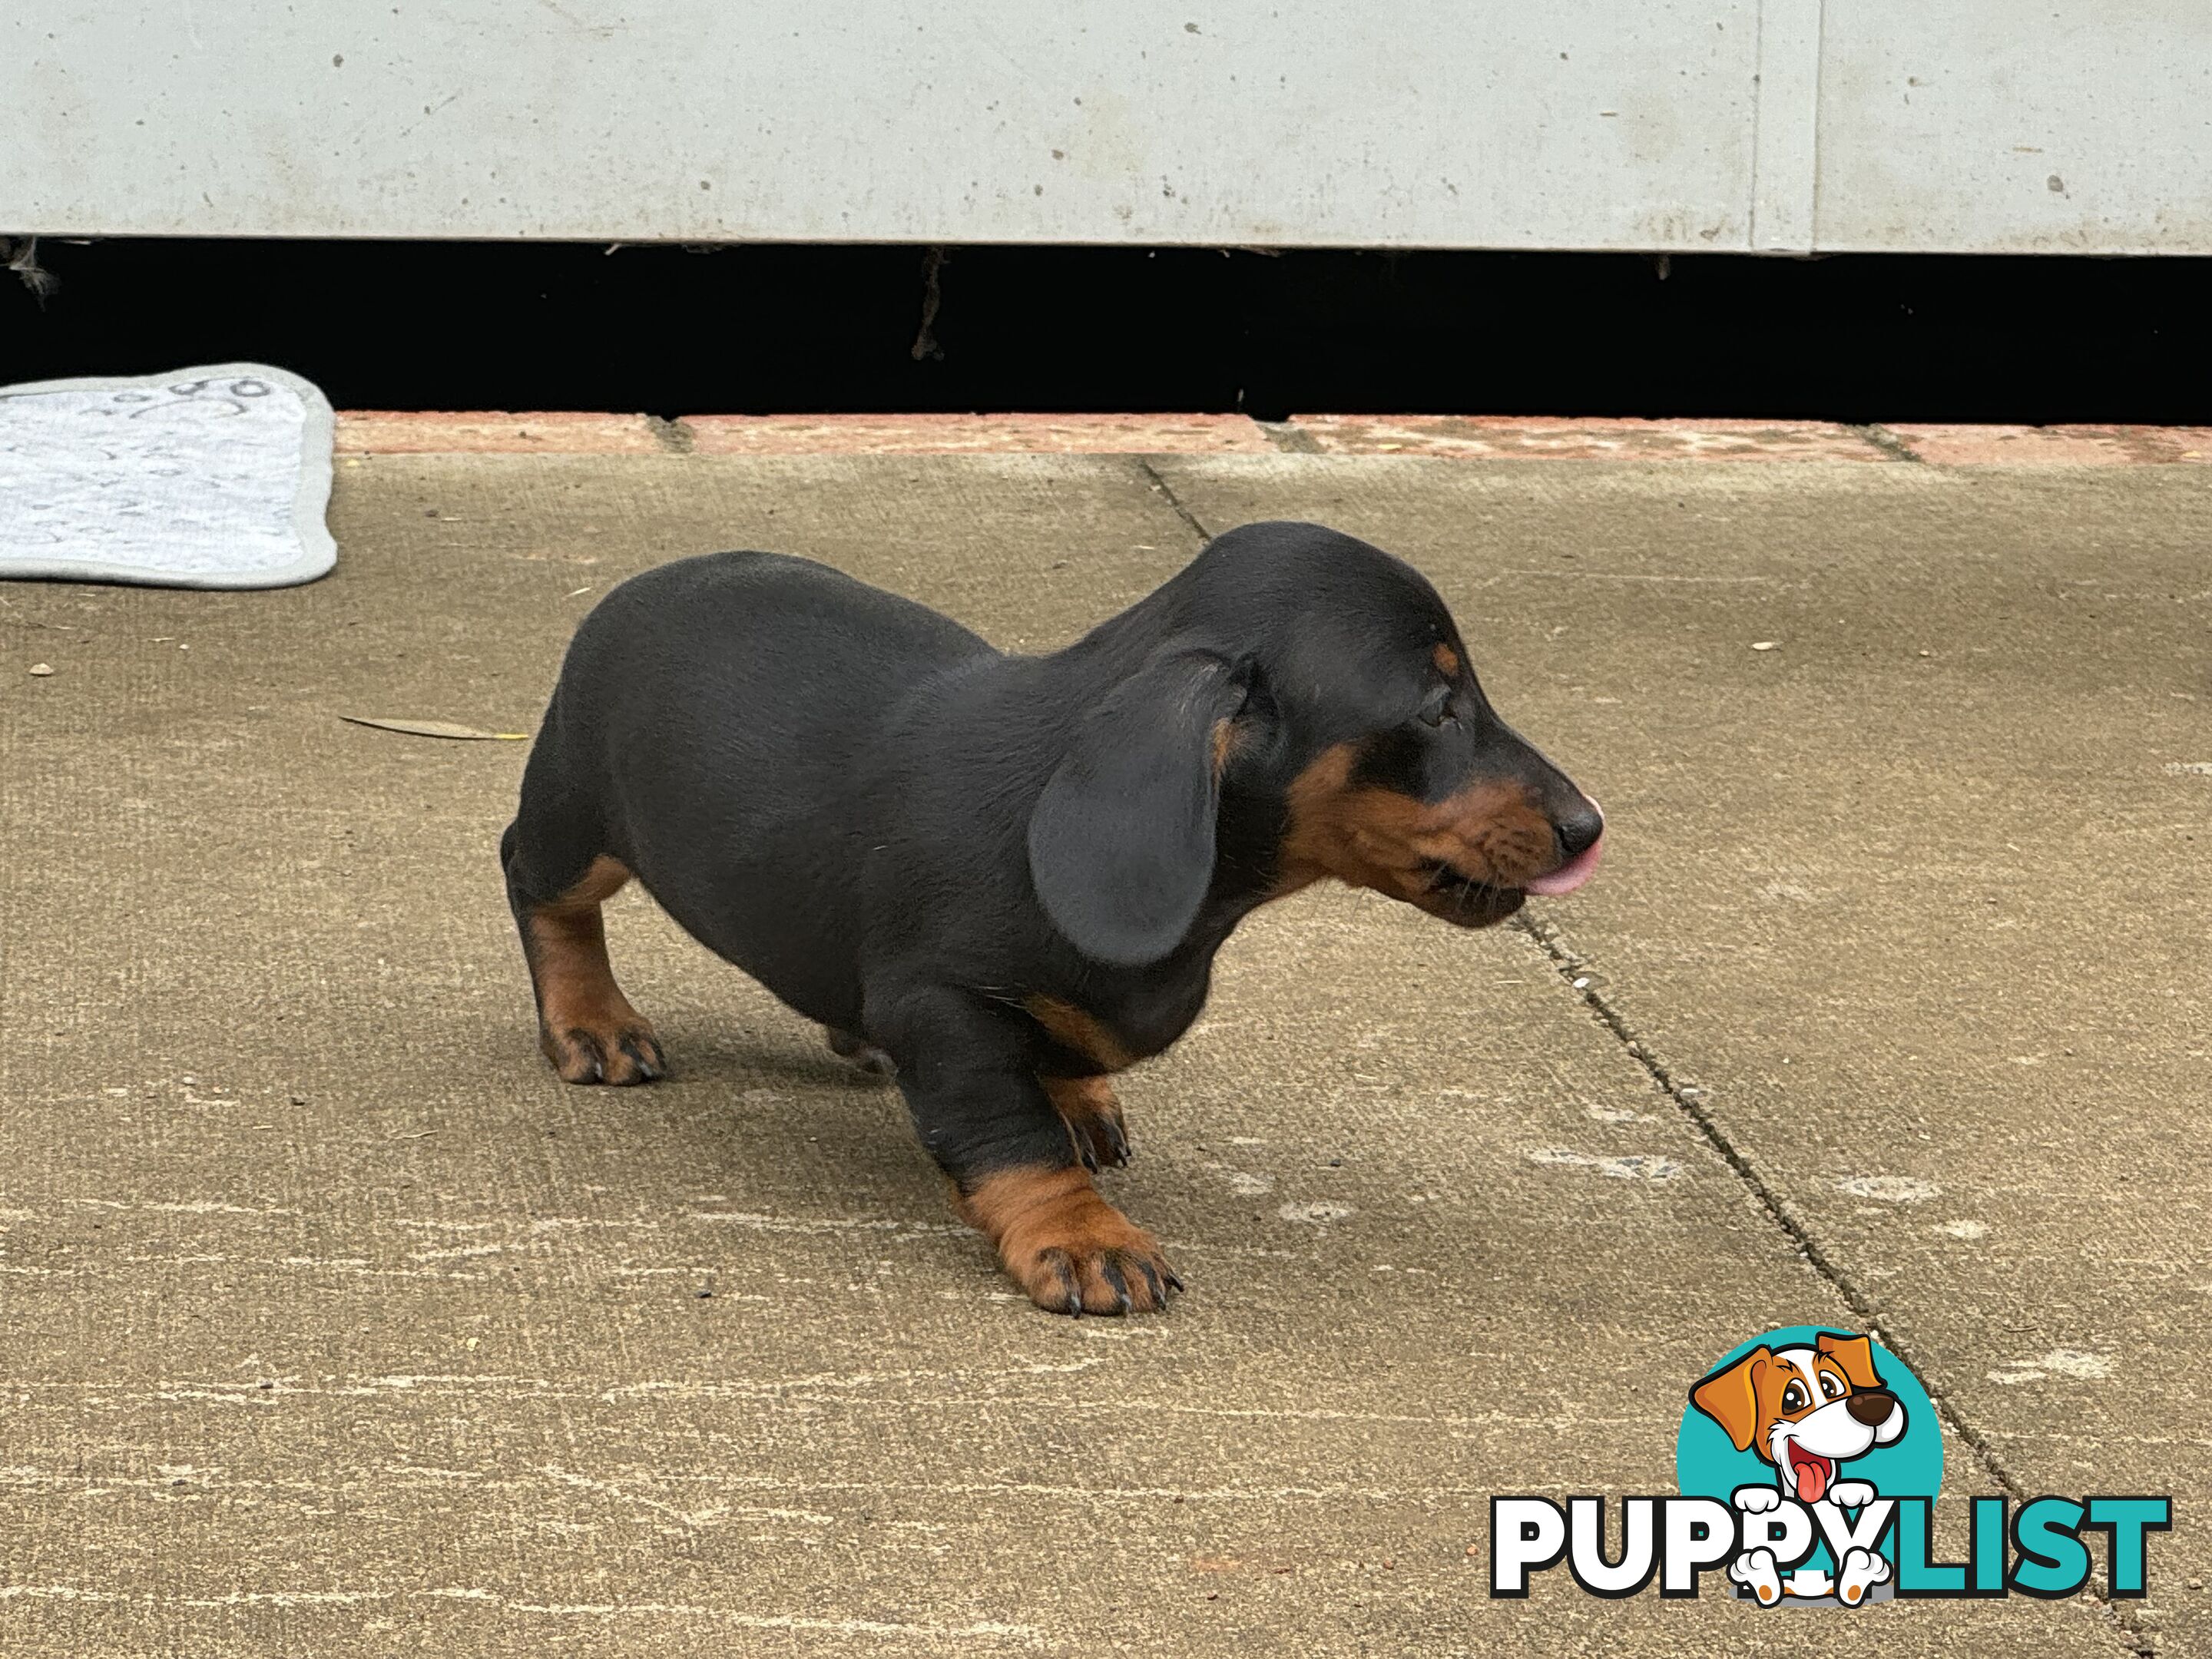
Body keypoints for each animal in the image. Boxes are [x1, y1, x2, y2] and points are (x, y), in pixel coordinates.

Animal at [506, 519, 1610, 1309]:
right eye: (1435, 709)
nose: (1587, 827)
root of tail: (640, 583)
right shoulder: (945, 1004)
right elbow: (1010, 1133)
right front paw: (1082, 1238)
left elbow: (1065, 1048)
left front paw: (1077, 1099)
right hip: (576, 818)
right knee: (539, 888)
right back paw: (594, 1023)